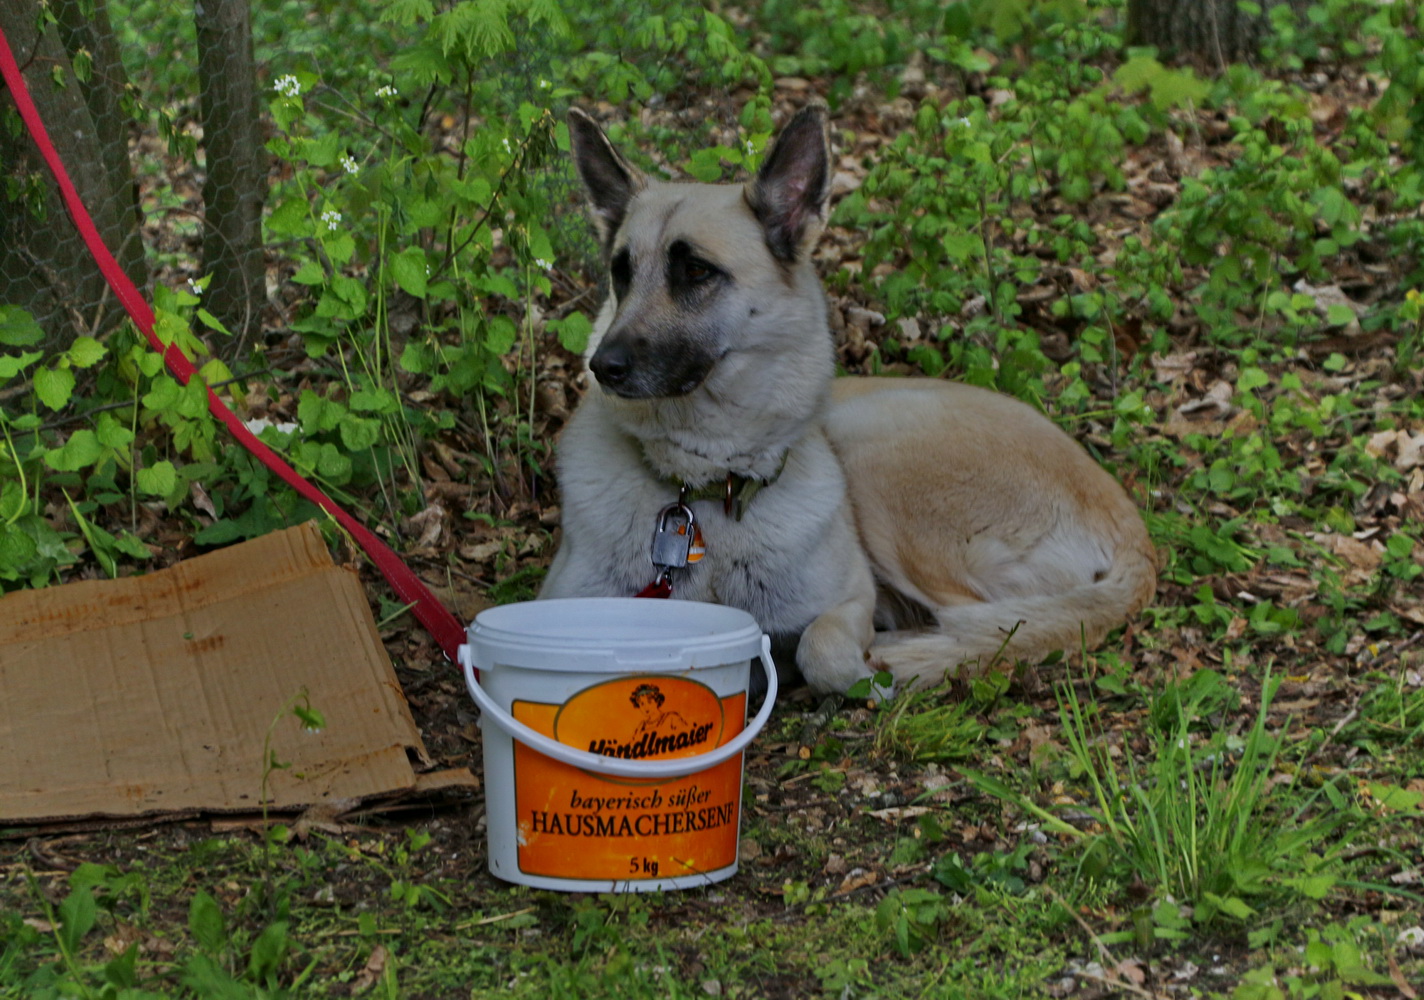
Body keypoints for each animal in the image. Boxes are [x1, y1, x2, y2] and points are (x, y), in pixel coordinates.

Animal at [538, 103, 1161, 698]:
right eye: (621, 273)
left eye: (695, 270)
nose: (603, 367)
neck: (706, 490)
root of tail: (1130, 527)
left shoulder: (849, 600)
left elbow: (824, 652)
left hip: (877, 461)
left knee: (992, 625)